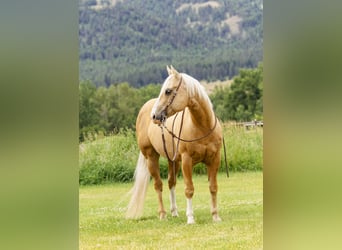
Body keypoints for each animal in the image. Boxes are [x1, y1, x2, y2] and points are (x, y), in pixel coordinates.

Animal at [127, 65, 223, 224]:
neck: (202, 127)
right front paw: (190, 218)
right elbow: (189, 189)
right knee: (158, 185)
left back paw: (174, 212)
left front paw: (215, 216)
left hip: (173, 161)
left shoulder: (214, 159)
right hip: (151, 157)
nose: (154, 116)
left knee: (171, 182)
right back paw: (163, 214)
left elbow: (213, 187)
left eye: (168, 91)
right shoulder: (186, 160)